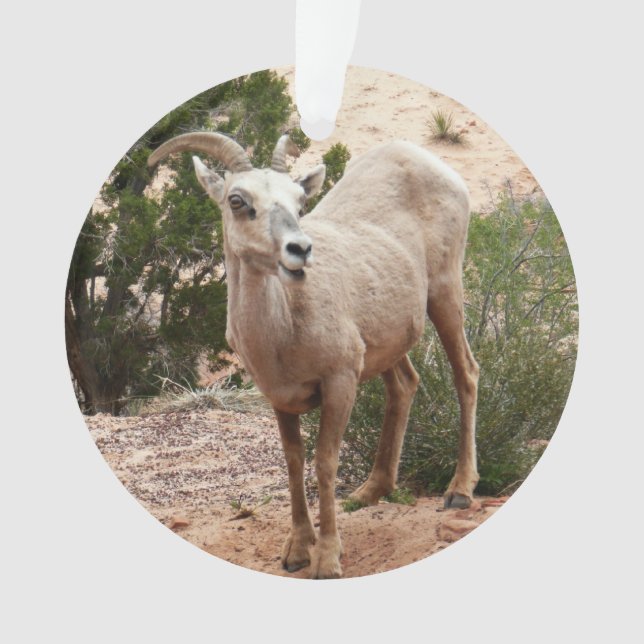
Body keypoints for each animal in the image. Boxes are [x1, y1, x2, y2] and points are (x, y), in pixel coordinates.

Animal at [147, 132, 479, 579]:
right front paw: (296, 552)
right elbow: (293, 462)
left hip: (445, 292)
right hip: (388, 340)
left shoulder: (339, 383)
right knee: (405, 386)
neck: (283, 330)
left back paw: (459, 491)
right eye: (237, 200)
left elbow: (324, 462)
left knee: (467, 374)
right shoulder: (279, 398)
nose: (300, 249)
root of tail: (422, 157)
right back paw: (369, 492)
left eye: (299, 202)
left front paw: (326, 559)